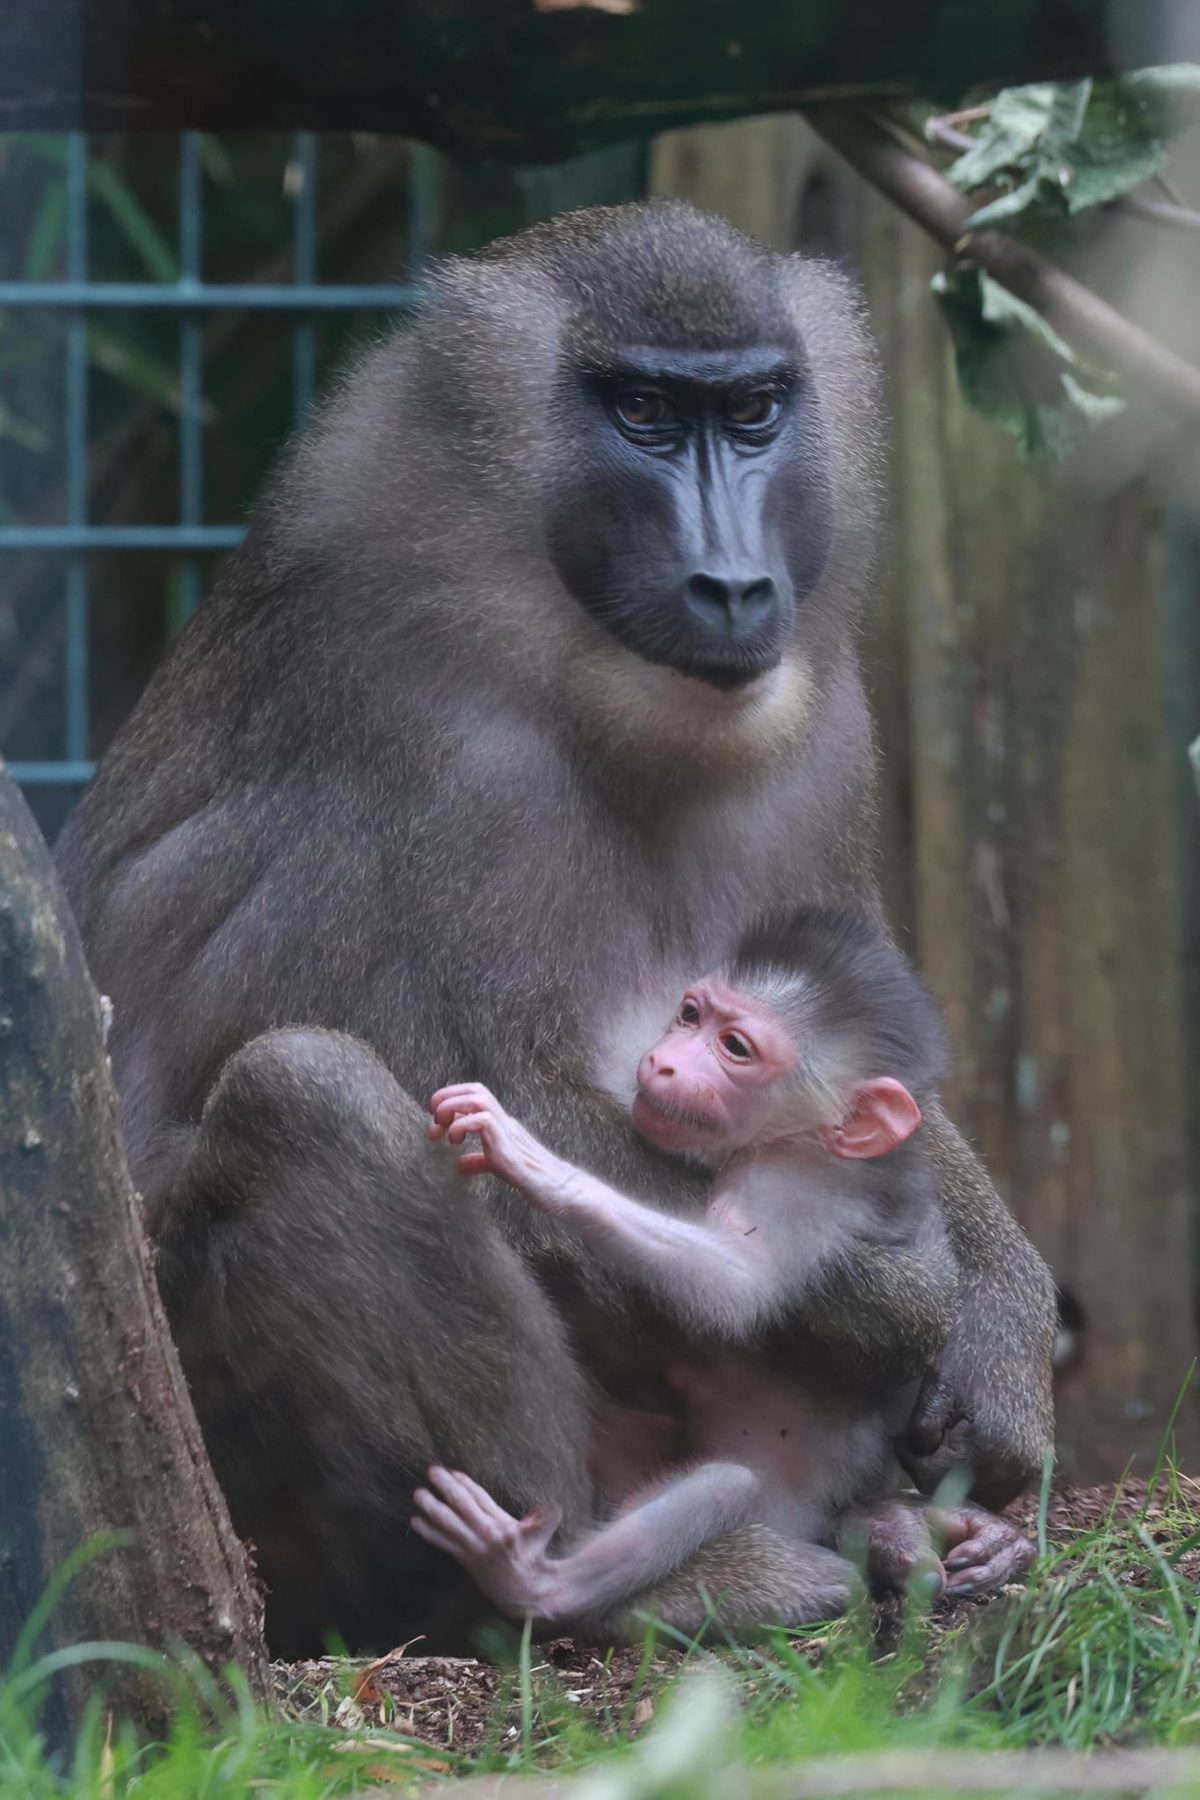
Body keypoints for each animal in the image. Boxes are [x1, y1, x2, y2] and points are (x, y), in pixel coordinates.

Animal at [411, 910, 1034, 1636]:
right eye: (690, 1015)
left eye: (735, 1047)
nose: (663, 1059)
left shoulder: (793, 1186)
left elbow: (736, 1289)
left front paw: (541, 1167)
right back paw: (912, 1529)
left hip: (774, 1509)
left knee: (726, 1485)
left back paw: (532, 1579)